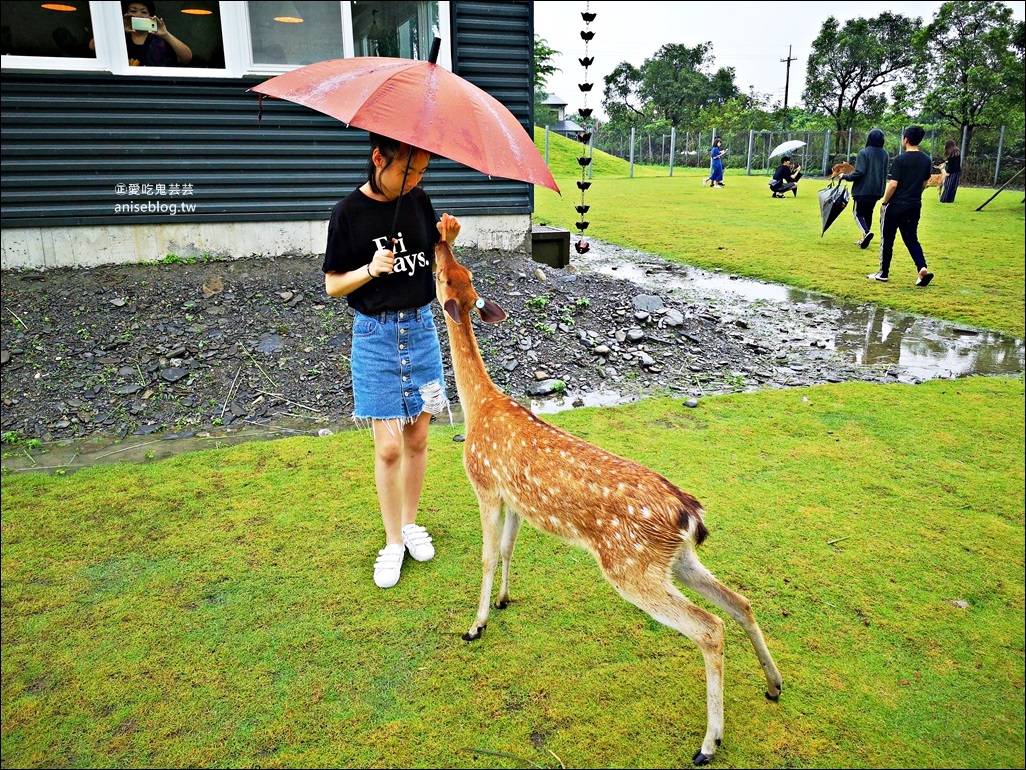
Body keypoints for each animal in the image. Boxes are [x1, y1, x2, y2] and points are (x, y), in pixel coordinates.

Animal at [432, 241, 783, 767]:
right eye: (459, 272)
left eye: (443, 275)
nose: (437, 245)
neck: (482, 408)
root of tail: (688, 511)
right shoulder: (516, 500)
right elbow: (511, 549)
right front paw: (504, 601)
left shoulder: (484, 482)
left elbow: (488, 555)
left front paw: (475, 626)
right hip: (675, 560)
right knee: (740, 602)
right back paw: (774, 685)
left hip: (629, 567)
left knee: (709, 627)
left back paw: (708, 743)